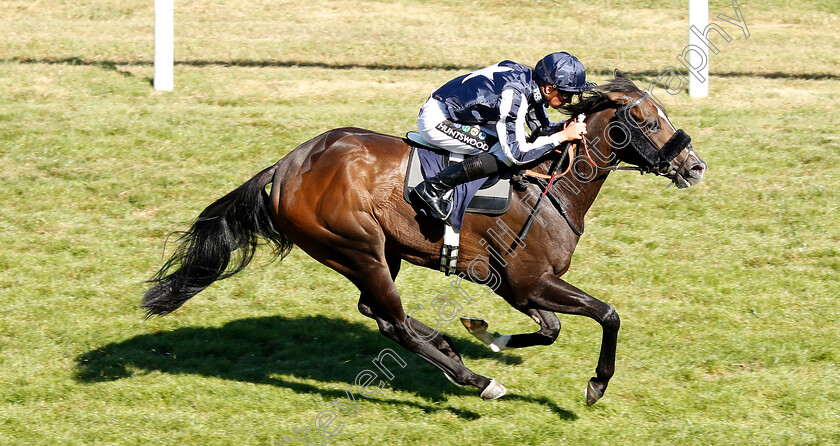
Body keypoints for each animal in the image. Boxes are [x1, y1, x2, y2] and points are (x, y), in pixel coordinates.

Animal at [143, 71, 704, 406]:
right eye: (646, 118)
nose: (694, 166)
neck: (552, 184)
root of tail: (285, 167)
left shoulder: (520, 288)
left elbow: (550, 330)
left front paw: (483, 332)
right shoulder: (526, 282)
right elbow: (607, 314)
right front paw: (595, 384)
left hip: (374, 253)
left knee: (377, 312)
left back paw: (447, 347)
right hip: (357, 248)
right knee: (392, 322)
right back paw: (476, 380)